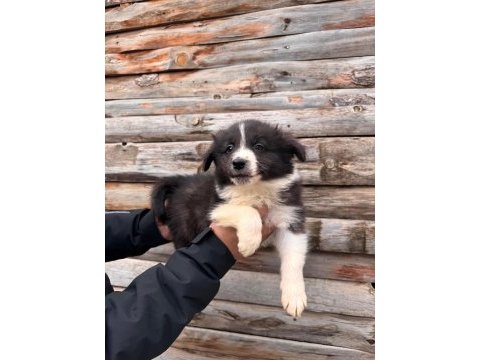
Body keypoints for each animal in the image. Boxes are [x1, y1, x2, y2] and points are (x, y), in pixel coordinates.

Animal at [152, 119, 310, 316]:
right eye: (229, 148)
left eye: (259, 146)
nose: (238, 162)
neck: (254, 189)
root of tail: (181, 182)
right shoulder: (214, 208)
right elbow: (247, 211)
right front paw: (249, 243)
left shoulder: (290, 217)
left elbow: (293, 259)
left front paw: (294, 297)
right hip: (184, 228)